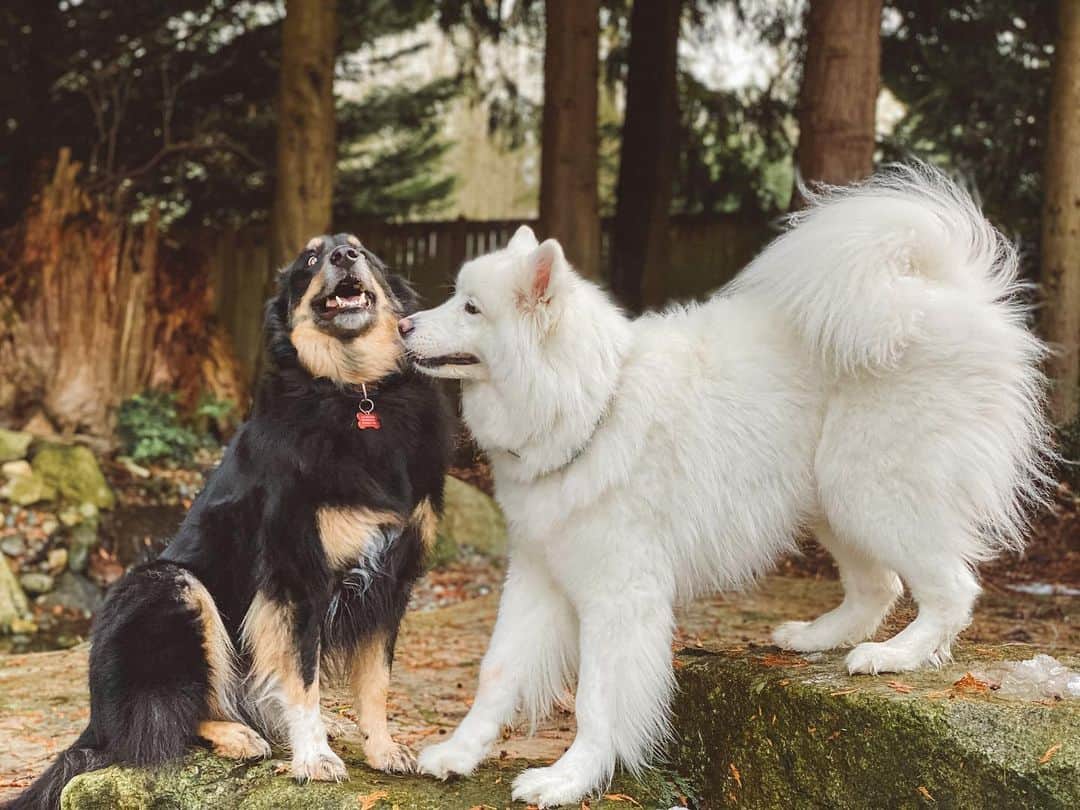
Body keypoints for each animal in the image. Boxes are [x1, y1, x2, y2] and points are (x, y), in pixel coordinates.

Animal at [6, 234, 449, 810]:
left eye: (361, 251)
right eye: (310, 259)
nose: (342, 258)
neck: (355, 394)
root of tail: (94, 719)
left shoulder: (391, 580)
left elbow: (375, 682)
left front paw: (382, 749)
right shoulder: (295, 577)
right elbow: (301, 678)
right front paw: (315, 758)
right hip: (168, 584)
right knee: (154, 724)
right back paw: (236, 734)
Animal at [401, 168, 1049, 807]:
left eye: (471, 308)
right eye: (458, 298)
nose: (403, 325)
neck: (592, 402)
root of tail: (948, 294)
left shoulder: (619, 595)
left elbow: (596, 701)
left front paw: (569, 778)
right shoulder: (537, 574)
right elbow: (496, 672)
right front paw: (458, 753)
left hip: (873, 492)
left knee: (951, 589)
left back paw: (896, 655)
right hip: (834, 502)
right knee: (878, 586)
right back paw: (816, 637)